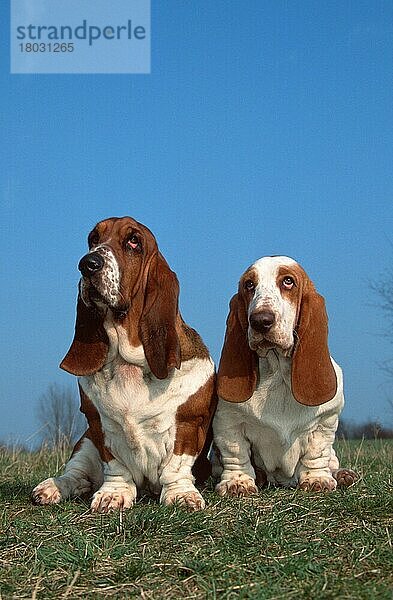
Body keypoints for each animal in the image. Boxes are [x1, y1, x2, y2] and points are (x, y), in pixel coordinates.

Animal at [33, 216, 217, 510]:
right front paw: (113, 495)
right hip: (84, 443)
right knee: (76, 474)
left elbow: (176, 467)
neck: (127, 361)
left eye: (133, 241)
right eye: (93, 239)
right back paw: (52, 487)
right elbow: (115, 466)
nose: (87, 264)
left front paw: (181, 495)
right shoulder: (98, 425)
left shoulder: (188, 425)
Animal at [213, 255, 356, 494]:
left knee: (332, 461)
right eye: (249, 284)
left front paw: (317, 479)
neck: (277, 373)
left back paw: (343, 474)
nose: (260, 321)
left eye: (288, 281)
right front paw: (238, 482)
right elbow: (236, 453)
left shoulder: (326, 421)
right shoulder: (227, 422)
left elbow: (317, 453)